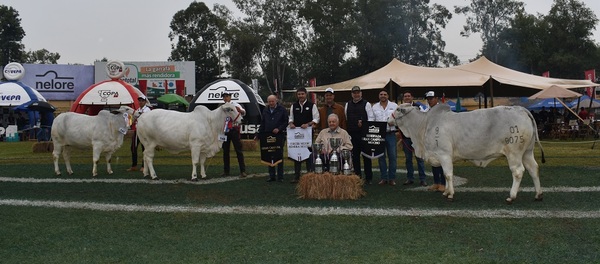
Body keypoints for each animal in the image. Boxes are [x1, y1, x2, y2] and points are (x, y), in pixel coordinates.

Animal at [390, 102, 544, 203]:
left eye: (397, 109)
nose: (388, 119)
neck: (424, 126)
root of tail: (520, 109)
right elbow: (445, 175)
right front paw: (446, 191)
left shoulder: (444, 154)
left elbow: (448, 174)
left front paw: (450, 194)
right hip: (527, 152)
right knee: (534, 168)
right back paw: (538, 194)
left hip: (514, 153)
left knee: (518, 171)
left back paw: (511, 196)